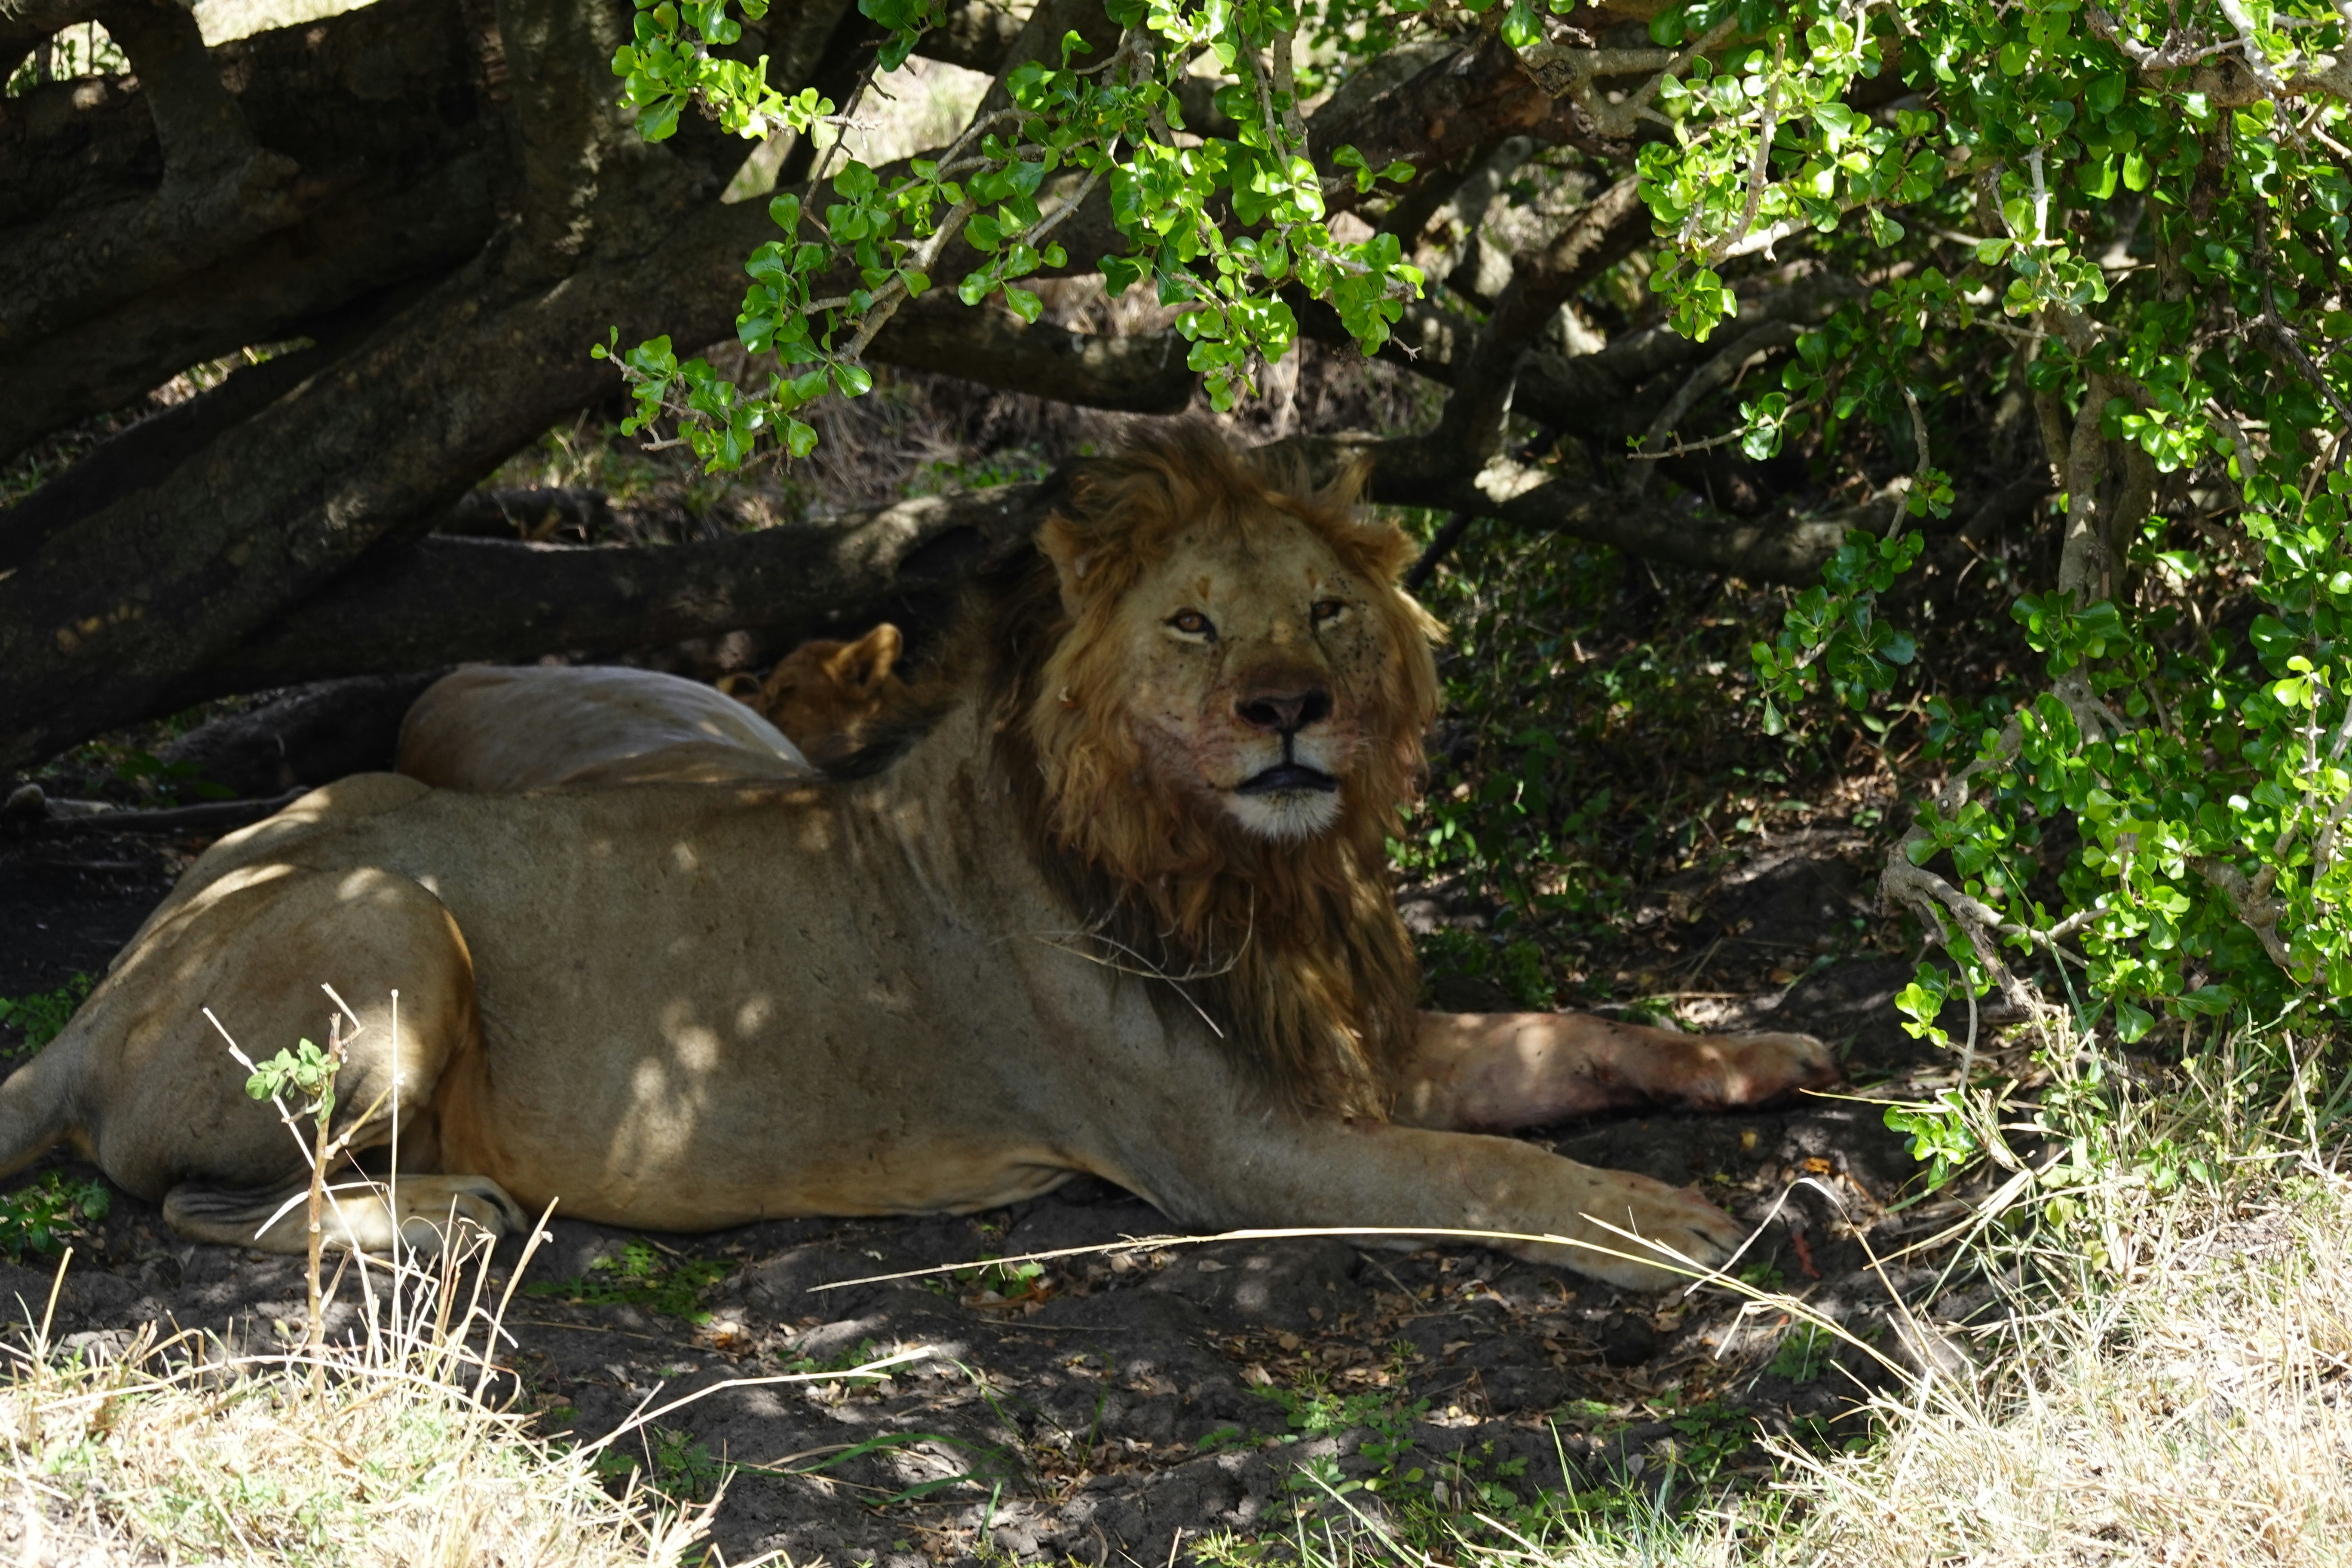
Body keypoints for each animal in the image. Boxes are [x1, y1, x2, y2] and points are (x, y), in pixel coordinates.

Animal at [0, 427, 1834, 1289]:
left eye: (1324, 610)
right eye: (1193, 624)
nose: (1287, 708)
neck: (1247, 871)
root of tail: (98, 999)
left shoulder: (1347, 1042)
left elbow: (1564, 1034)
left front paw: (1757, 1058)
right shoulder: (1230, 1150)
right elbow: (1491, 1173)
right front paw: (1665, 1219)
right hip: (391, 924)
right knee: (185, 1194)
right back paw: (448, 1210)